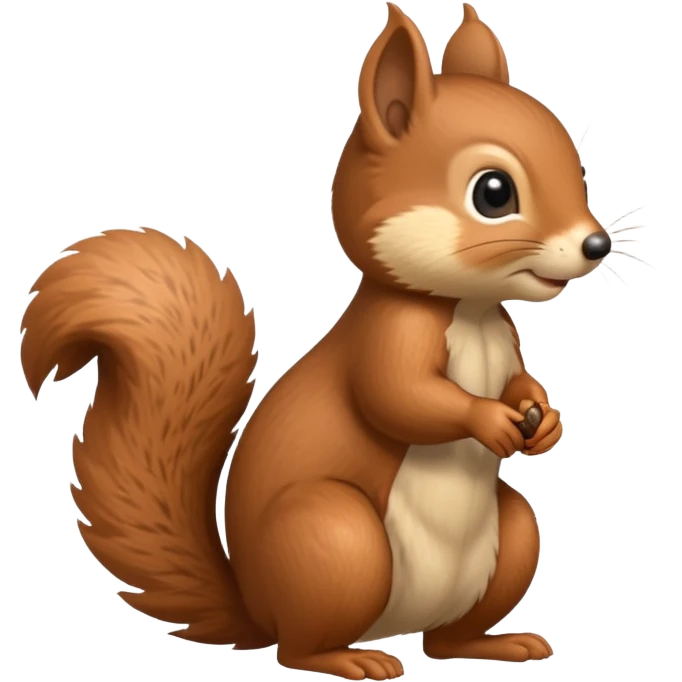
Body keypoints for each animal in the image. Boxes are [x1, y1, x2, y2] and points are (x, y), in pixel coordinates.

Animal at [20, 3, 610, 679]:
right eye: (493, 192)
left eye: (577, 165)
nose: (596, 244)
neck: (469, 308)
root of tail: (256, 607)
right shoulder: (388, 339)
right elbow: (401, 398)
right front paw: (486, 419)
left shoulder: (506, 343)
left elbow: (518, 381)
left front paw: (545, 419)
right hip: (335, 539)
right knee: (299, 646)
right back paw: (352, 660)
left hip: (509, 539)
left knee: (445, 640)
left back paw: (494, 644)